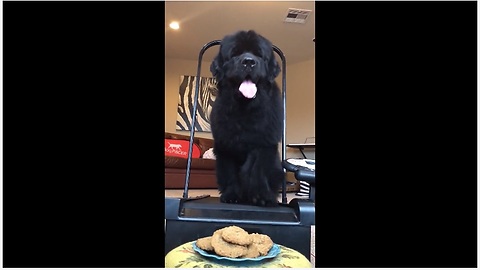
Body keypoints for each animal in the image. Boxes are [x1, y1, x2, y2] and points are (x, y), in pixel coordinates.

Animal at [211, 30, 284, 207]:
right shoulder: (225, 146)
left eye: (259, 54)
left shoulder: (264, 143)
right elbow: (230, 173)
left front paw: (261, 197)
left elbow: (255, 169)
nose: (249, 62)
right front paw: (231, 195)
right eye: (235, 54)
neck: (245, 108)